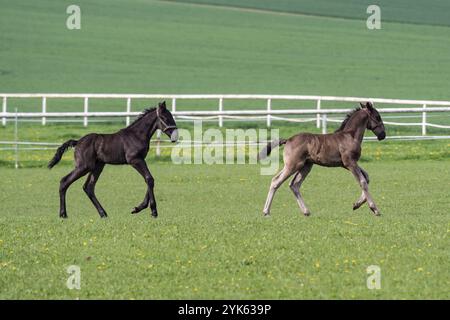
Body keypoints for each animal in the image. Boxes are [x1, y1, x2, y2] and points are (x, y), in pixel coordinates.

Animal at [47, 101, 178, 219]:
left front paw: (138, 208)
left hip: (98, 166)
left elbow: (150, 179)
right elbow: (149, 179)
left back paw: (103, 213)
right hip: (84, 166)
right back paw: (63, 214)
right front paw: (153, 211)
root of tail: (78, 142)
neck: (136, 135)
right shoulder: (135, 160)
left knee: (88, 187)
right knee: (64, 181)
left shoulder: (141, 160)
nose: (175, 136)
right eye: (164, 118)